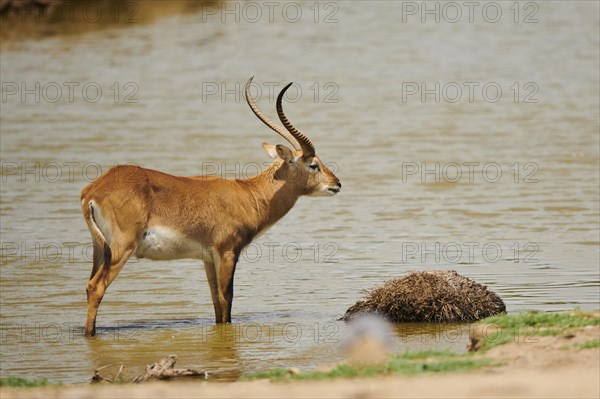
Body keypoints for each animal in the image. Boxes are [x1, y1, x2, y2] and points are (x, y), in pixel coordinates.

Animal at [80, 76, 342, 336]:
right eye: (314, 164)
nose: (337, 184)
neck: (250, 195)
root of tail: (93, 190)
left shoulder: (207, 258)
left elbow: (216, 302)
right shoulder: (227, 253)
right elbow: (227, 300)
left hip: (100, 250)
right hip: (121, 249)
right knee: (96, 286)